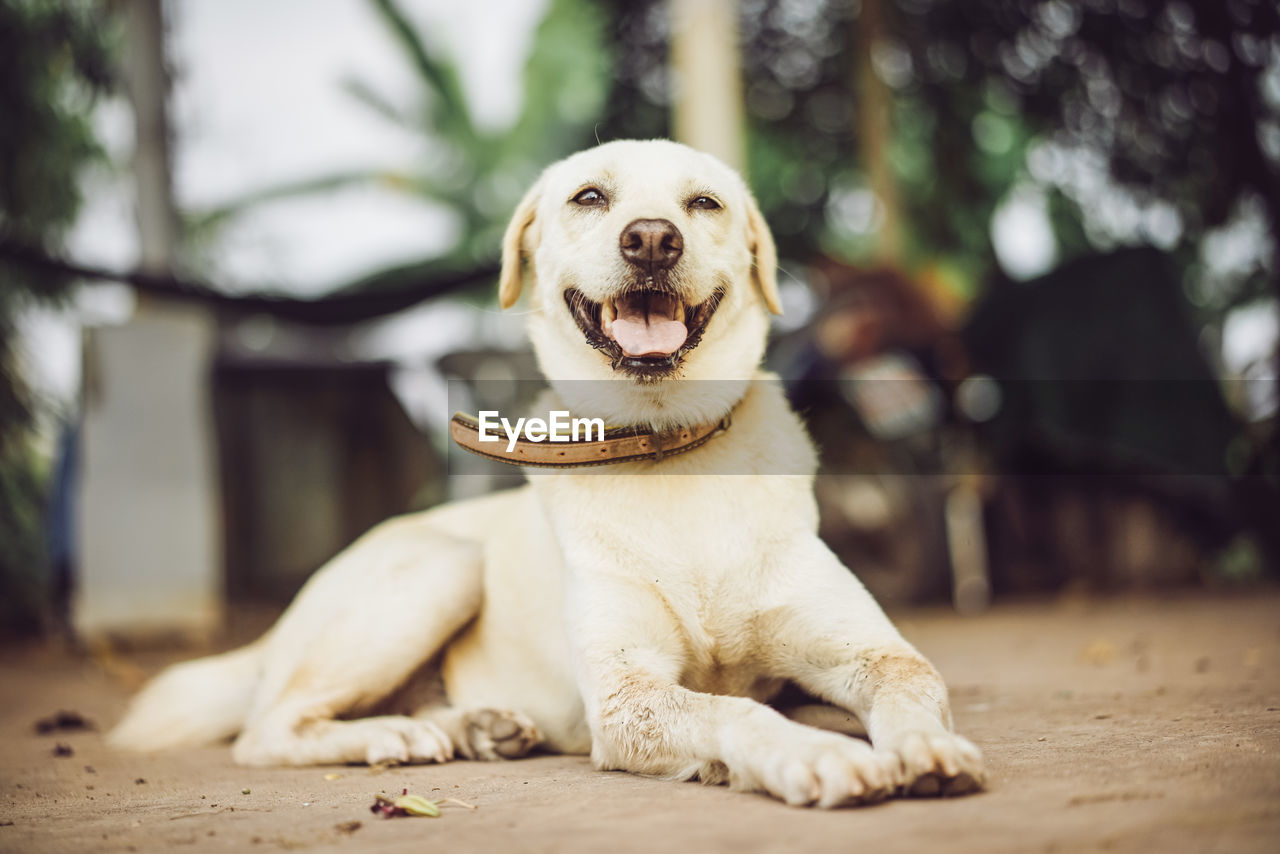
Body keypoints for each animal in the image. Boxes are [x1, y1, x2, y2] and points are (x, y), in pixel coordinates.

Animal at [112, 140, 988, 809]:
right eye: (590, 197)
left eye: (703, 203)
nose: (651, 239)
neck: (667, 450)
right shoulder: (627, 697)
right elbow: (737, 714)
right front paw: (819, 755)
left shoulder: (868, 653)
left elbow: (911, 686)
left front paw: (925, 750)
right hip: (442, 566)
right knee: (267, 731)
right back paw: (393, 733)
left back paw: (474, 726)